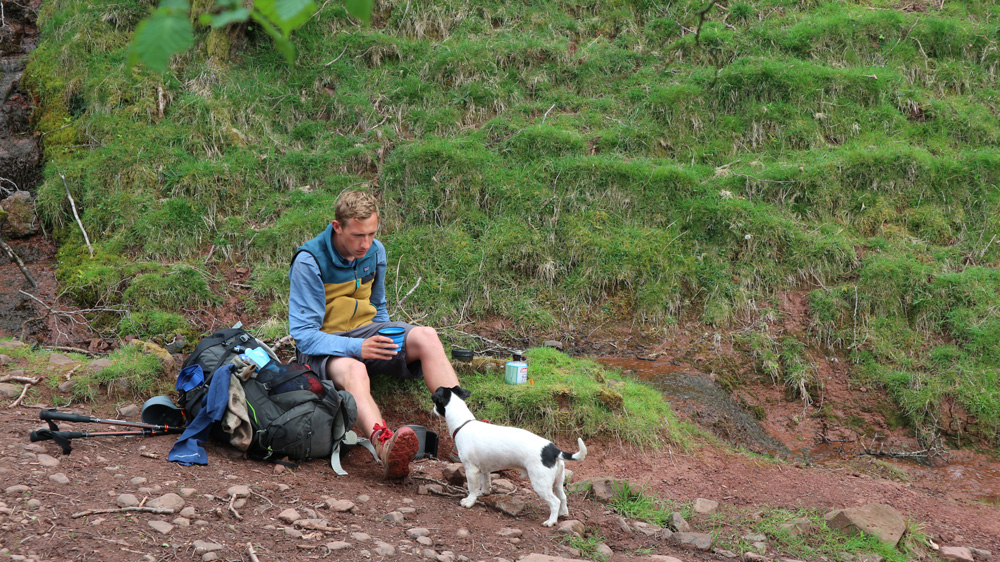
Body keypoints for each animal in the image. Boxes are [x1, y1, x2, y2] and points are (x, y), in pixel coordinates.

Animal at [430, 382, 584, 524]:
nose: (433, 410)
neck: (463, 424)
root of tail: (553, 450)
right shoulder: (484, 469)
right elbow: (486, 481)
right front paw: (485, 492)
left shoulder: (471, 469)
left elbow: (472, 488)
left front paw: (469, 501)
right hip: (557, 481)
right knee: (563, 497)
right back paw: (563, 514)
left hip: (541, 483)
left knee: (555, 501)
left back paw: (551, 521)